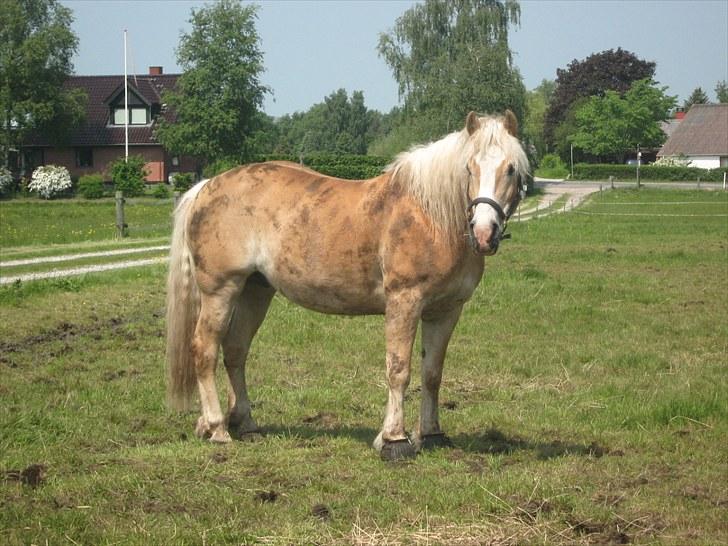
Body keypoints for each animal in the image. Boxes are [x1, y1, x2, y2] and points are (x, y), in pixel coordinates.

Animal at [165, 110, 528, 460]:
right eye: (469, 167)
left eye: (511, 169)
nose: (484, 232)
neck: (432, 217)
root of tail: (206, 186)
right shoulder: (404, 302)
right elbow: (399, 370)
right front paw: (394, 441)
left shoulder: (446, 311)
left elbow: (432, 373)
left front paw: (433, 435)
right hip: (220, 290)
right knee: (205, 349)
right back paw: (216, 428)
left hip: (255, 290)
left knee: (236, 352)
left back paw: (244, 424)